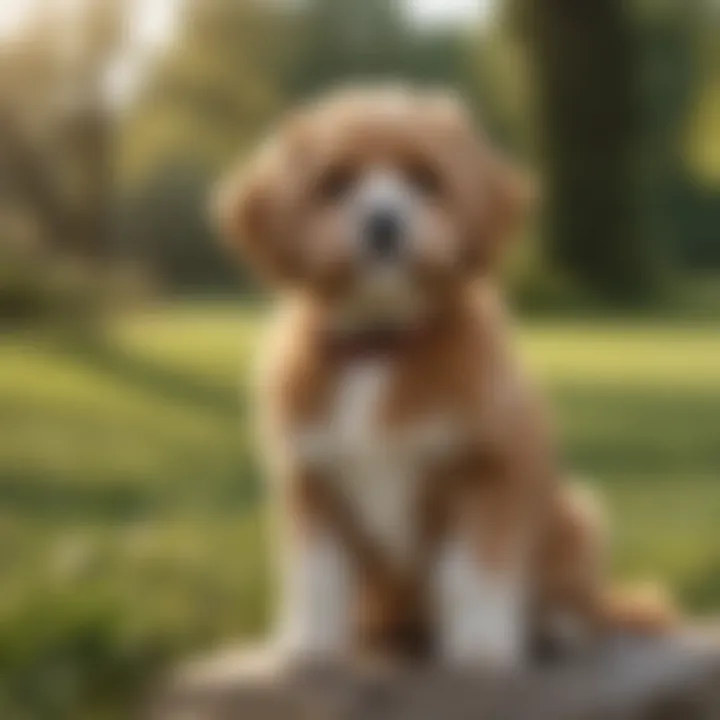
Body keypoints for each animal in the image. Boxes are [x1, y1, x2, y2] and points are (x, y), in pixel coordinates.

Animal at [214, 87, 676, 668]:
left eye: (425, 179)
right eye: (335, 182)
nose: (383, 223)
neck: (381, 345)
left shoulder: (488, 471)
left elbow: (475, 570)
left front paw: (479, 645)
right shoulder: (312, 481)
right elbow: (319, 575)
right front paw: (311, 643)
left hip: (577, 517)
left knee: (576, 600)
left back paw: (554, 627)